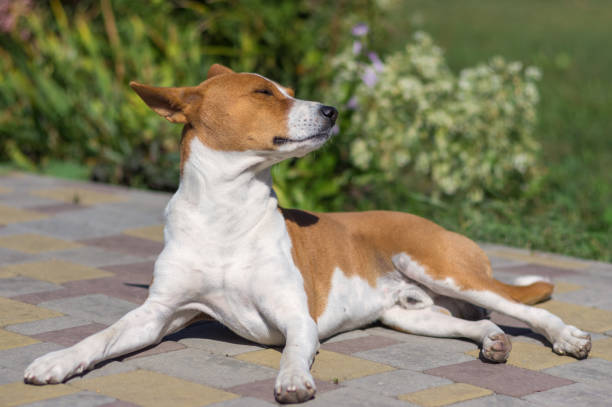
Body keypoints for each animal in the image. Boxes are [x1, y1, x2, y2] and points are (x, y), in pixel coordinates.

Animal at [25, 64, 592, 404]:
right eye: (263, 93)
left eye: (291, 92)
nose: (332, 110)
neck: (225, 214)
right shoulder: (159, 314)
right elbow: (100, 337)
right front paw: (57, 361)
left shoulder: (298, 318)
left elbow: (295, 351)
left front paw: (293, 379)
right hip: (411, 315)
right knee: (480, 322)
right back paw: (492, 342)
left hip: (443, 269)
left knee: (523, 308)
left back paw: (567, 336)